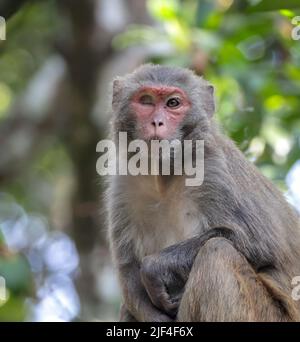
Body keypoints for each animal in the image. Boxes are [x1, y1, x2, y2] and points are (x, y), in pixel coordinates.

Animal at [105, 63, 300, 320]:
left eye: (173, 103)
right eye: (146, 101)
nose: (157, 122)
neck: (165, 174)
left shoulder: (215, 171)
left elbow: (260, 243)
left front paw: (153, 268)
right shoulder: (123, 185)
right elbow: (129, 275)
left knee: (216, 252)